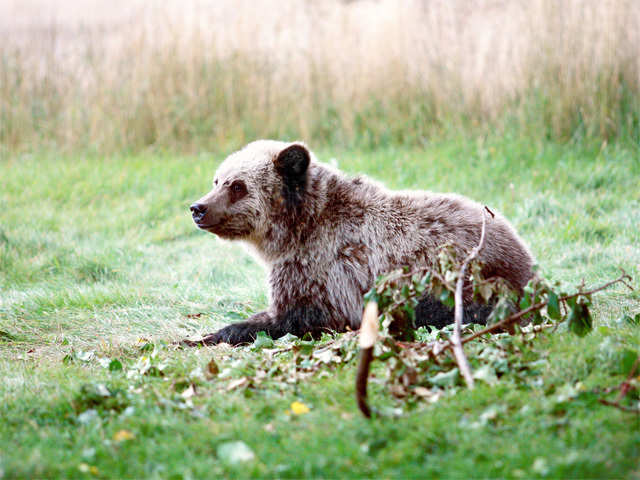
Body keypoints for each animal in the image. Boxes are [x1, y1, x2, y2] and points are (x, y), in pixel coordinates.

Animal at [185, 139, 536, 344]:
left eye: (238, 186)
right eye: (217, 180)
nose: (198, 208)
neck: (297, 230)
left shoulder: (324, 273)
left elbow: (294, 317)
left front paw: (212, 334)